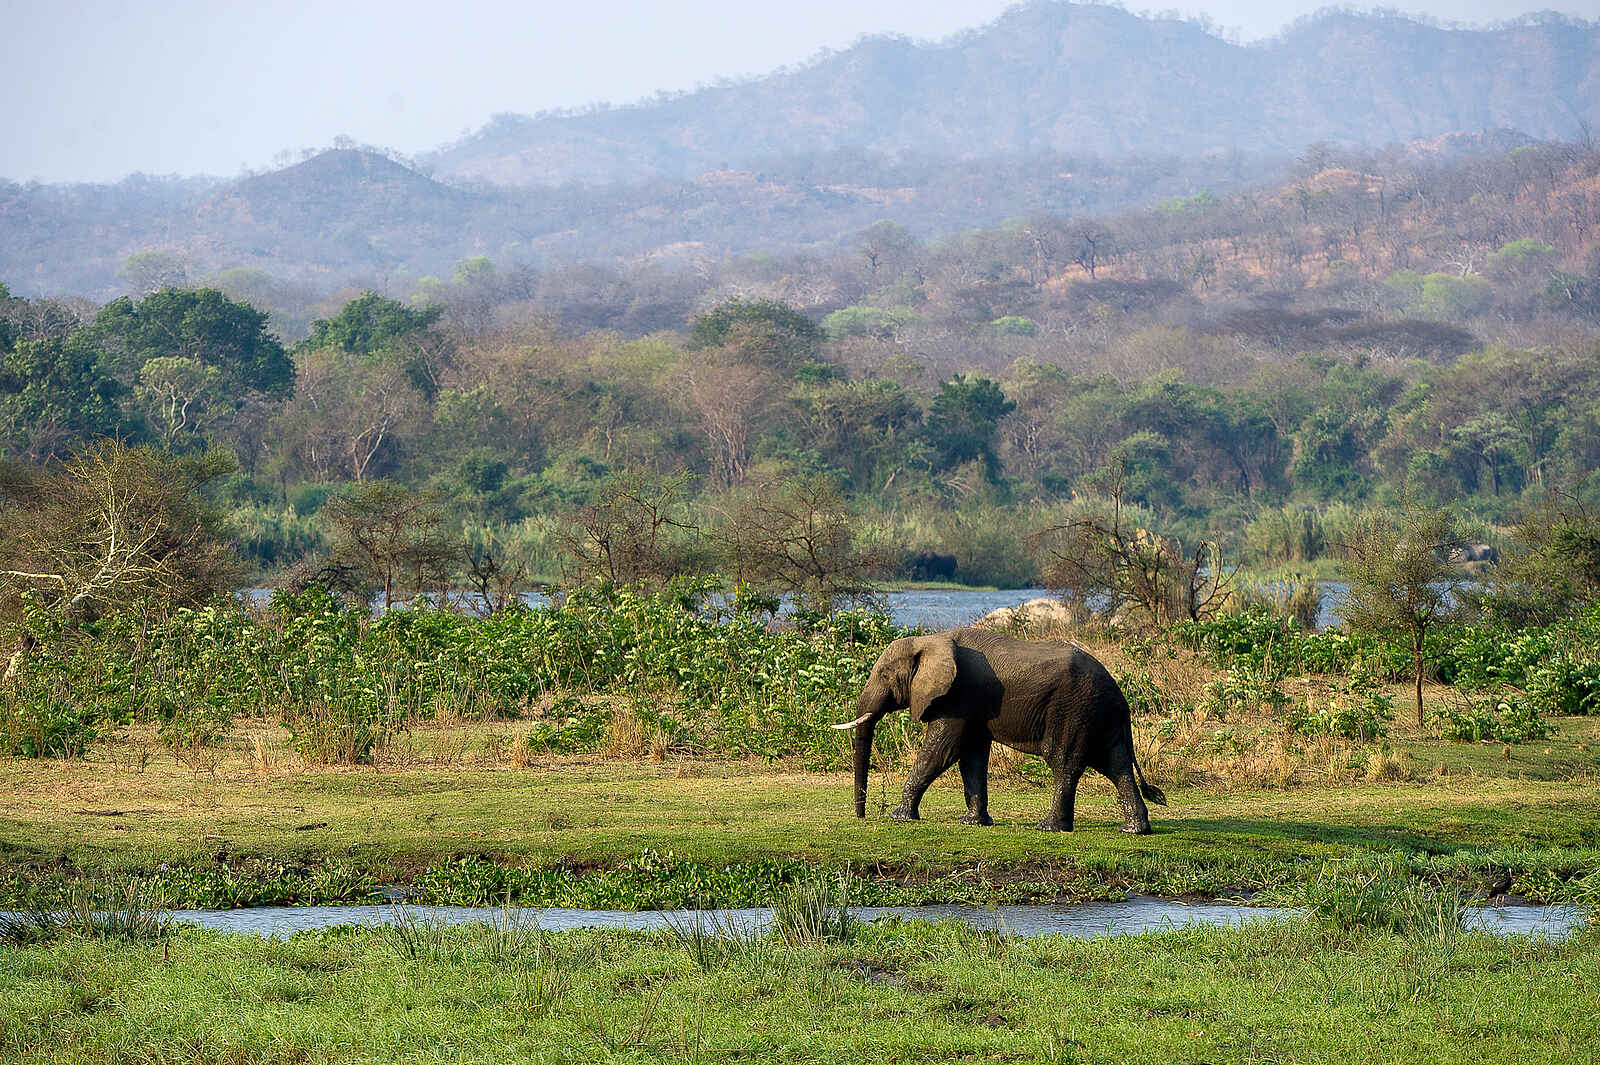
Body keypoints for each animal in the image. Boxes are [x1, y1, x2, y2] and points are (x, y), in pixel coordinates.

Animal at [833, 629, 1166, 832]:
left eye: (883, 674)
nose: (863, 815)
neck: (931, 639)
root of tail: (1120, 697)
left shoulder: (958, 697)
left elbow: (941, 750)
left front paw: (899, 817)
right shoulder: (972, 706)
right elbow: (971, 756)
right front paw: (972, 823)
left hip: (1074, 709)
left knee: (1063, 762)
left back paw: (1049, 827)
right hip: (1098, 716)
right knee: (1116, 765)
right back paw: (1135, 830)